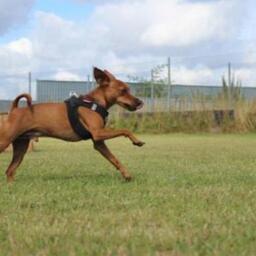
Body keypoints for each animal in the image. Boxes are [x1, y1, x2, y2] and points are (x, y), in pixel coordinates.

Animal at [0, 68, 144, 182]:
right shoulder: (98, 133)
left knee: (9, 171)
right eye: (123, 91)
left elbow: (114, 159)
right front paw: (136, 140)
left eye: (128, 90)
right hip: (5, 141)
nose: (140, 102)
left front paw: (126, 174)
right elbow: (125, 130)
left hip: (21, 147)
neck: (95, 103)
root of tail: (14, 109)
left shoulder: (98, 142)